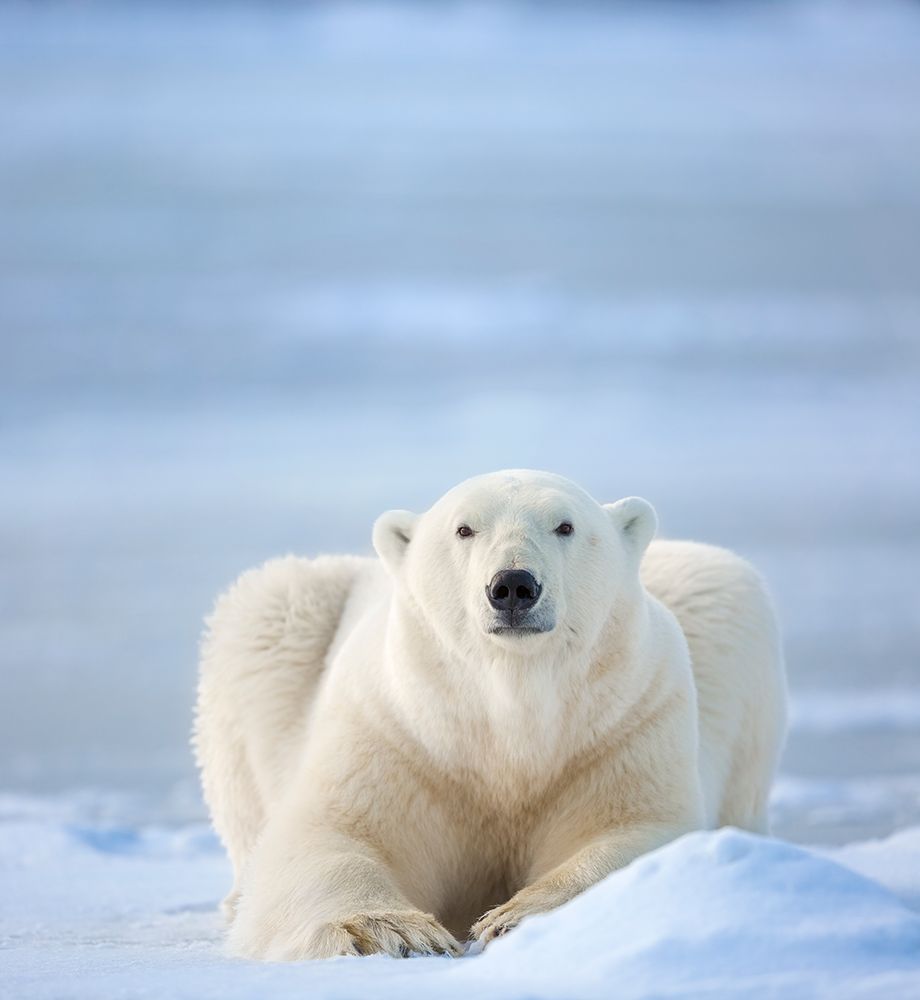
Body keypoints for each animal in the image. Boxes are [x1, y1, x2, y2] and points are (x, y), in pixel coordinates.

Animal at [194, 469, 787, 961]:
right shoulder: (395, 732)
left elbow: (636, 831)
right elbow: (329, 836)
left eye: (566, 525)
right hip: (284, 619)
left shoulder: (623, 724)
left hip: (720, 604)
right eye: (464, 529)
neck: (508, 708)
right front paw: (392, 931)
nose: (514, 585)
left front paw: (513, 916)